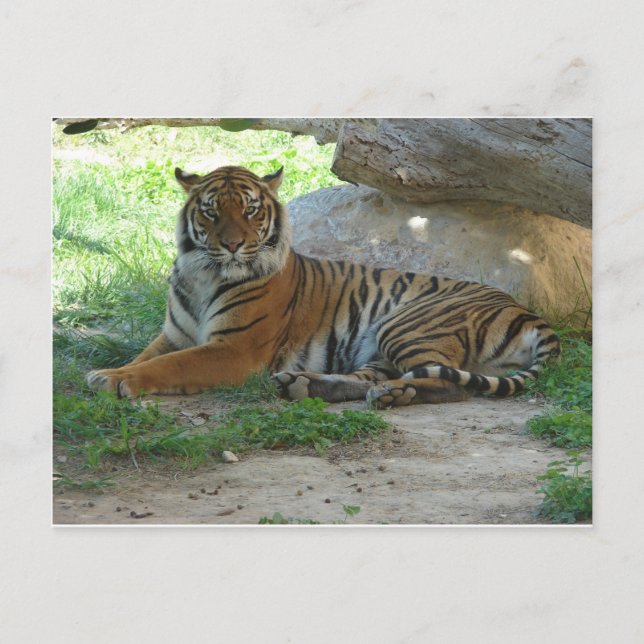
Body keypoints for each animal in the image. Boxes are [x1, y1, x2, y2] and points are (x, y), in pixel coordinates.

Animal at [86, 164, 560, 408]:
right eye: (210, 211)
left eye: (250, 210)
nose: (233, 244)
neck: (205, 272)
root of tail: (527, 311)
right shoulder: (174, 335)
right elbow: (146, 357)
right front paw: (111, 372)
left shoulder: (234, 348)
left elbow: (168, 366)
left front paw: (111, 379)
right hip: (377, 345)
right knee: (374, 376)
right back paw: (306, 385)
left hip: (406, 324)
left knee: (451, 383)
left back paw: (388, 394)